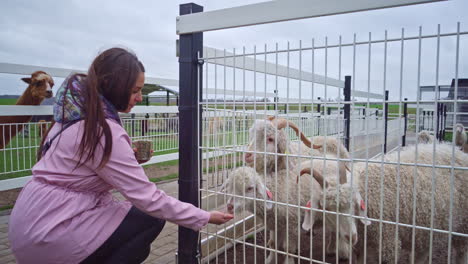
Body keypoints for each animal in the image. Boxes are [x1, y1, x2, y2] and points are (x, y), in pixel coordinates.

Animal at [300, 144, 468, 264]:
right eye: (327, 209)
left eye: (353, 204)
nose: (352, 237)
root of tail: (458, 152)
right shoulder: (361, 246)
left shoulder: (388, 242)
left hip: (462, 227)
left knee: (461, 252)